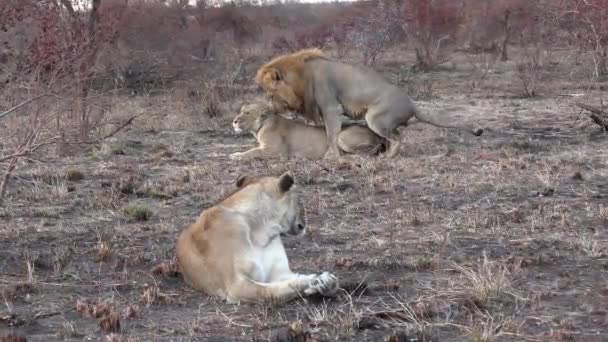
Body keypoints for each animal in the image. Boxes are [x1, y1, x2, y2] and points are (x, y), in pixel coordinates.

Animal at [173, 171, 340, 304]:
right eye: (300, 198)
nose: (305, 223)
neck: (259, 229)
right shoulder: (236, 286)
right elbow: (273, 290)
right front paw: (316, 281)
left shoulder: (279, 274)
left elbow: (294, 279)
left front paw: (326, 282)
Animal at [228, 98, 384, 161]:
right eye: (241, 111)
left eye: (247, 113)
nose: (234, 121)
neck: (261, 126)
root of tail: (376, 136)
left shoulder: (277, 152)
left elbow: (253, 152)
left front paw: (236, 155)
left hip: (341, 136)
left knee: (362, 155)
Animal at [254, 47, 482, 159]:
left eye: (270, 93)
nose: (270, 108)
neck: (300, 78)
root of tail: (411, 102)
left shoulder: (330, 107)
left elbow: (331, 134)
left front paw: (331, 156)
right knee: (393, 137)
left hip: (373, 118)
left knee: (398, 137)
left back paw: (387, 157)